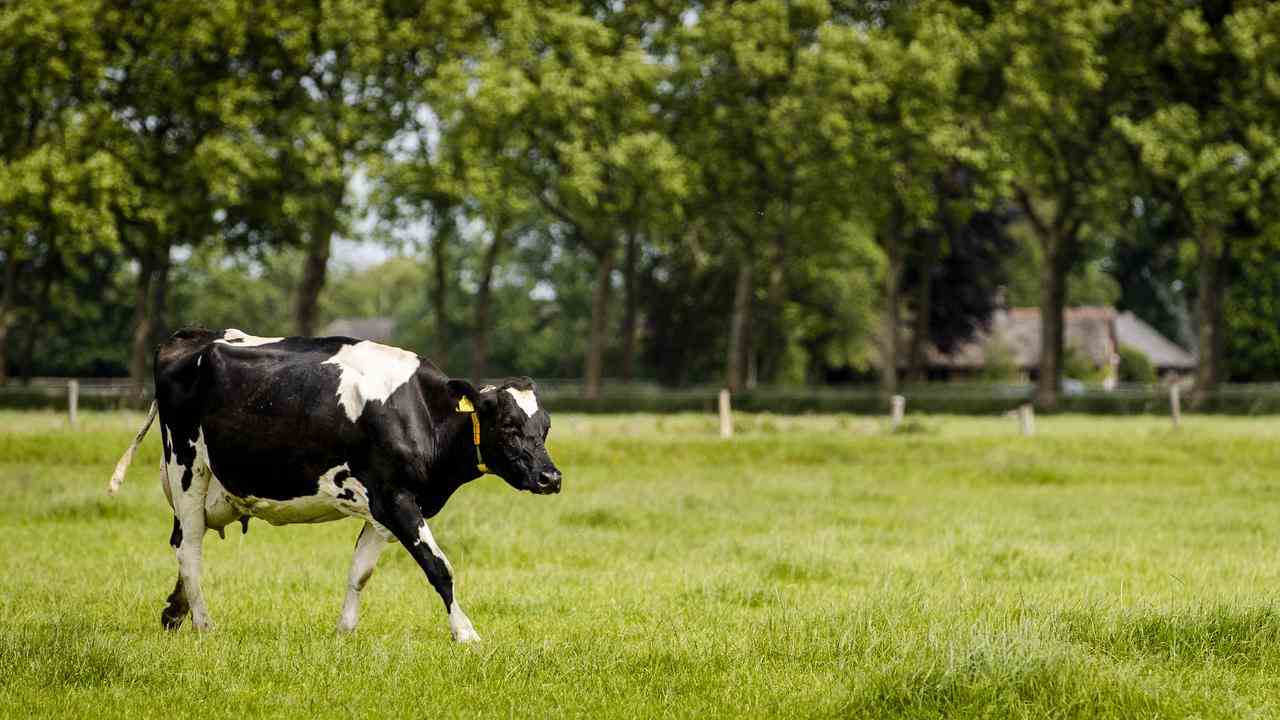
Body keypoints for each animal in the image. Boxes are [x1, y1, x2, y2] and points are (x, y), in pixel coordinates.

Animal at [111, 325, 565, 638]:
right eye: (508, 427)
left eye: (544, 427)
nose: (551, 477)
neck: (421, 412)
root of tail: (193, 336)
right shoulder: (396, 499)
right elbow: (439, 567)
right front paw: (466, 633)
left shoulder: (385, 506)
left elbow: (360, 571)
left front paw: (344, 632)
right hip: (188, 468)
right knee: (190, 551)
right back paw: (205, 625)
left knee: (181, 546)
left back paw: (174, 613)